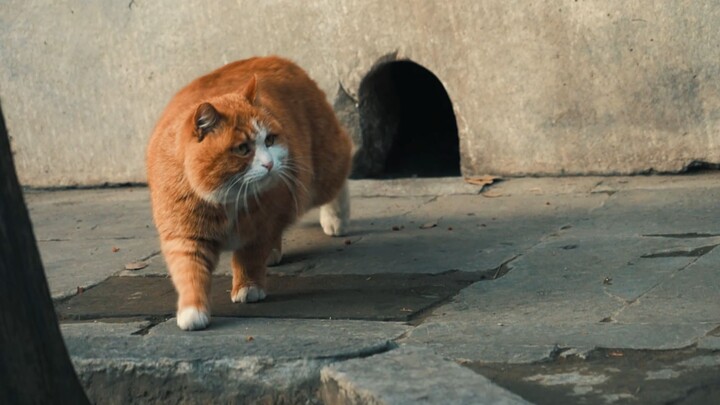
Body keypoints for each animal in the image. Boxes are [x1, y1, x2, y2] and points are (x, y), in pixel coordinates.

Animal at [146, 56, 352, 328]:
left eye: (270, 140)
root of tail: (277, 59)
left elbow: (248, 259)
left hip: (322, 172)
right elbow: (189, 273)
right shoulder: (185, 236)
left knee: (341, 171)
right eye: (243, 149)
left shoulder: (260, 227)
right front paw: (193, 311)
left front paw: (248, 287)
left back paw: (337, 219)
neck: (226, 198)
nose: (269, 164)